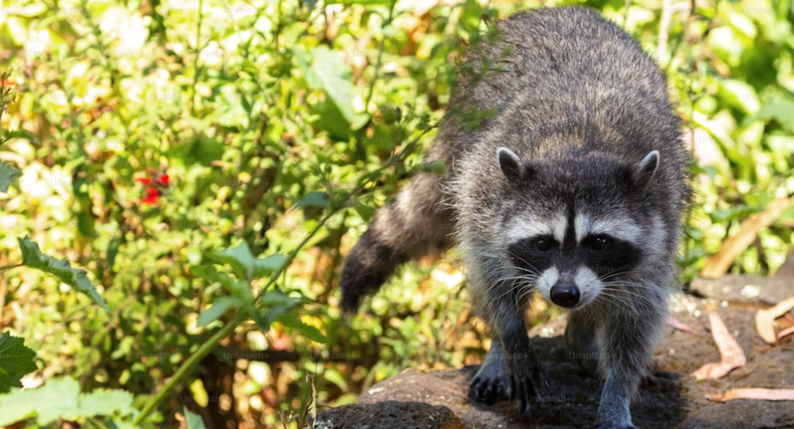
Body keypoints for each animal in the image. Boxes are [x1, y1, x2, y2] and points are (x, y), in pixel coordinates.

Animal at [340, 6, 690, 429]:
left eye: (600, 242)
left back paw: (580, 338)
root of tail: (554, 9)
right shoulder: (484, 195)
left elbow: (635, 321)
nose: (565, 295)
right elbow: (492, 276)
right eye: (542, 243)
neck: (579, 148)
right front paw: (510, 338)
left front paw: (617, 394)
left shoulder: (660, 228)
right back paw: (499, 350)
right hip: (464, 133)